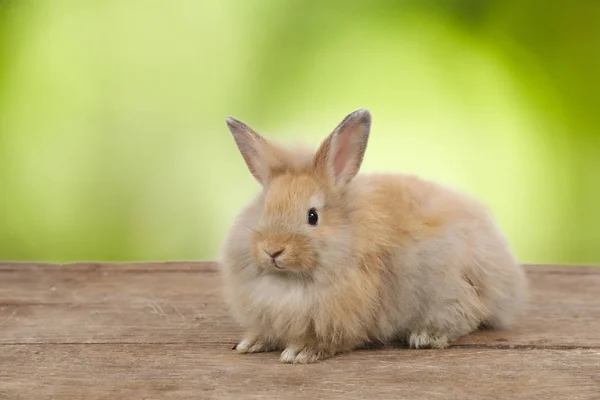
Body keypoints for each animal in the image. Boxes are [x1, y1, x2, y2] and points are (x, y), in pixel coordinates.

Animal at [218, 108, 528, 364]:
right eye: (264, 210)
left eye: (312, 216)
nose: (272, 251)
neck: (290, 283)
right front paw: (251, 343)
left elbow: (331, 339)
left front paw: (300, 352)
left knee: (470, 313)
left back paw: (425, 336)